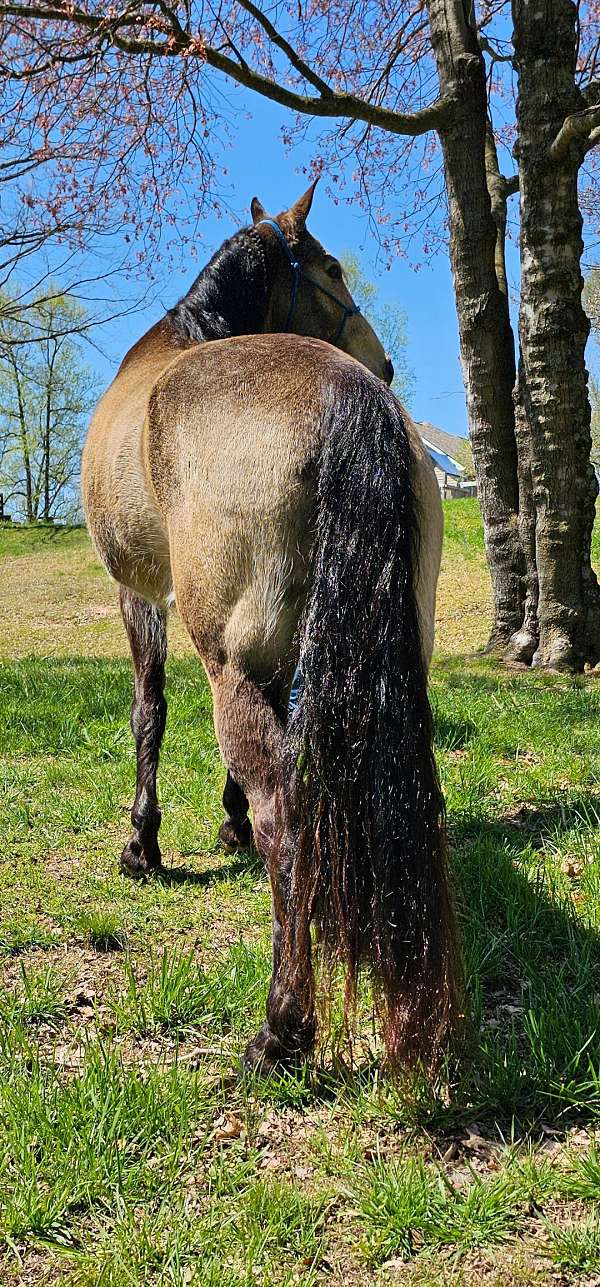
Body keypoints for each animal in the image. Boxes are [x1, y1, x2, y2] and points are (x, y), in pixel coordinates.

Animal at [79, 178, 455, 1065]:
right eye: (329, 268)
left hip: (232, 659)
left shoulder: (140, 594)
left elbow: (149, 713)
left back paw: (283, 1026)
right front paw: (228, 826)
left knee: (289, 810)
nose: (387, 360)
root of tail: (347, 392)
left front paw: (142, 846)